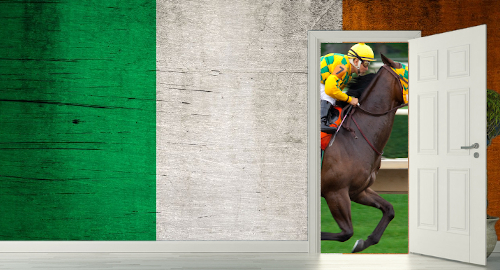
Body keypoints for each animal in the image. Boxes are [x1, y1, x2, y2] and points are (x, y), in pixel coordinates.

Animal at [322, 54, 408, 253]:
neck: (355, 136)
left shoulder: (357, 190)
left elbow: (389, 210)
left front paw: (363, 243)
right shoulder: (335, 192)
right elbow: (346, 232)